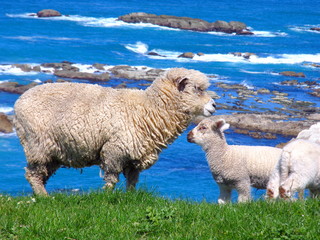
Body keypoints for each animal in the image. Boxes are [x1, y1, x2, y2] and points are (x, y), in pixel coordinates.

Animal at [13, 67, 216, 195]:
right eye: (197, 89)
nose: (214, 106)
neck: (148, 108)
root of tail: (19, 101)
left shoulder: (134, 157)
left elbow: (132, 181)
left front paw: (130, 197)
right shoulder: (114, 150)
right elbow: (111, 179)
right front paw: (104, 196)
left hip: (55, 151)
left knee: (41, 174)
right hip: (37, 145)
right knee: (33, 174)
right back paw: (43, 197)